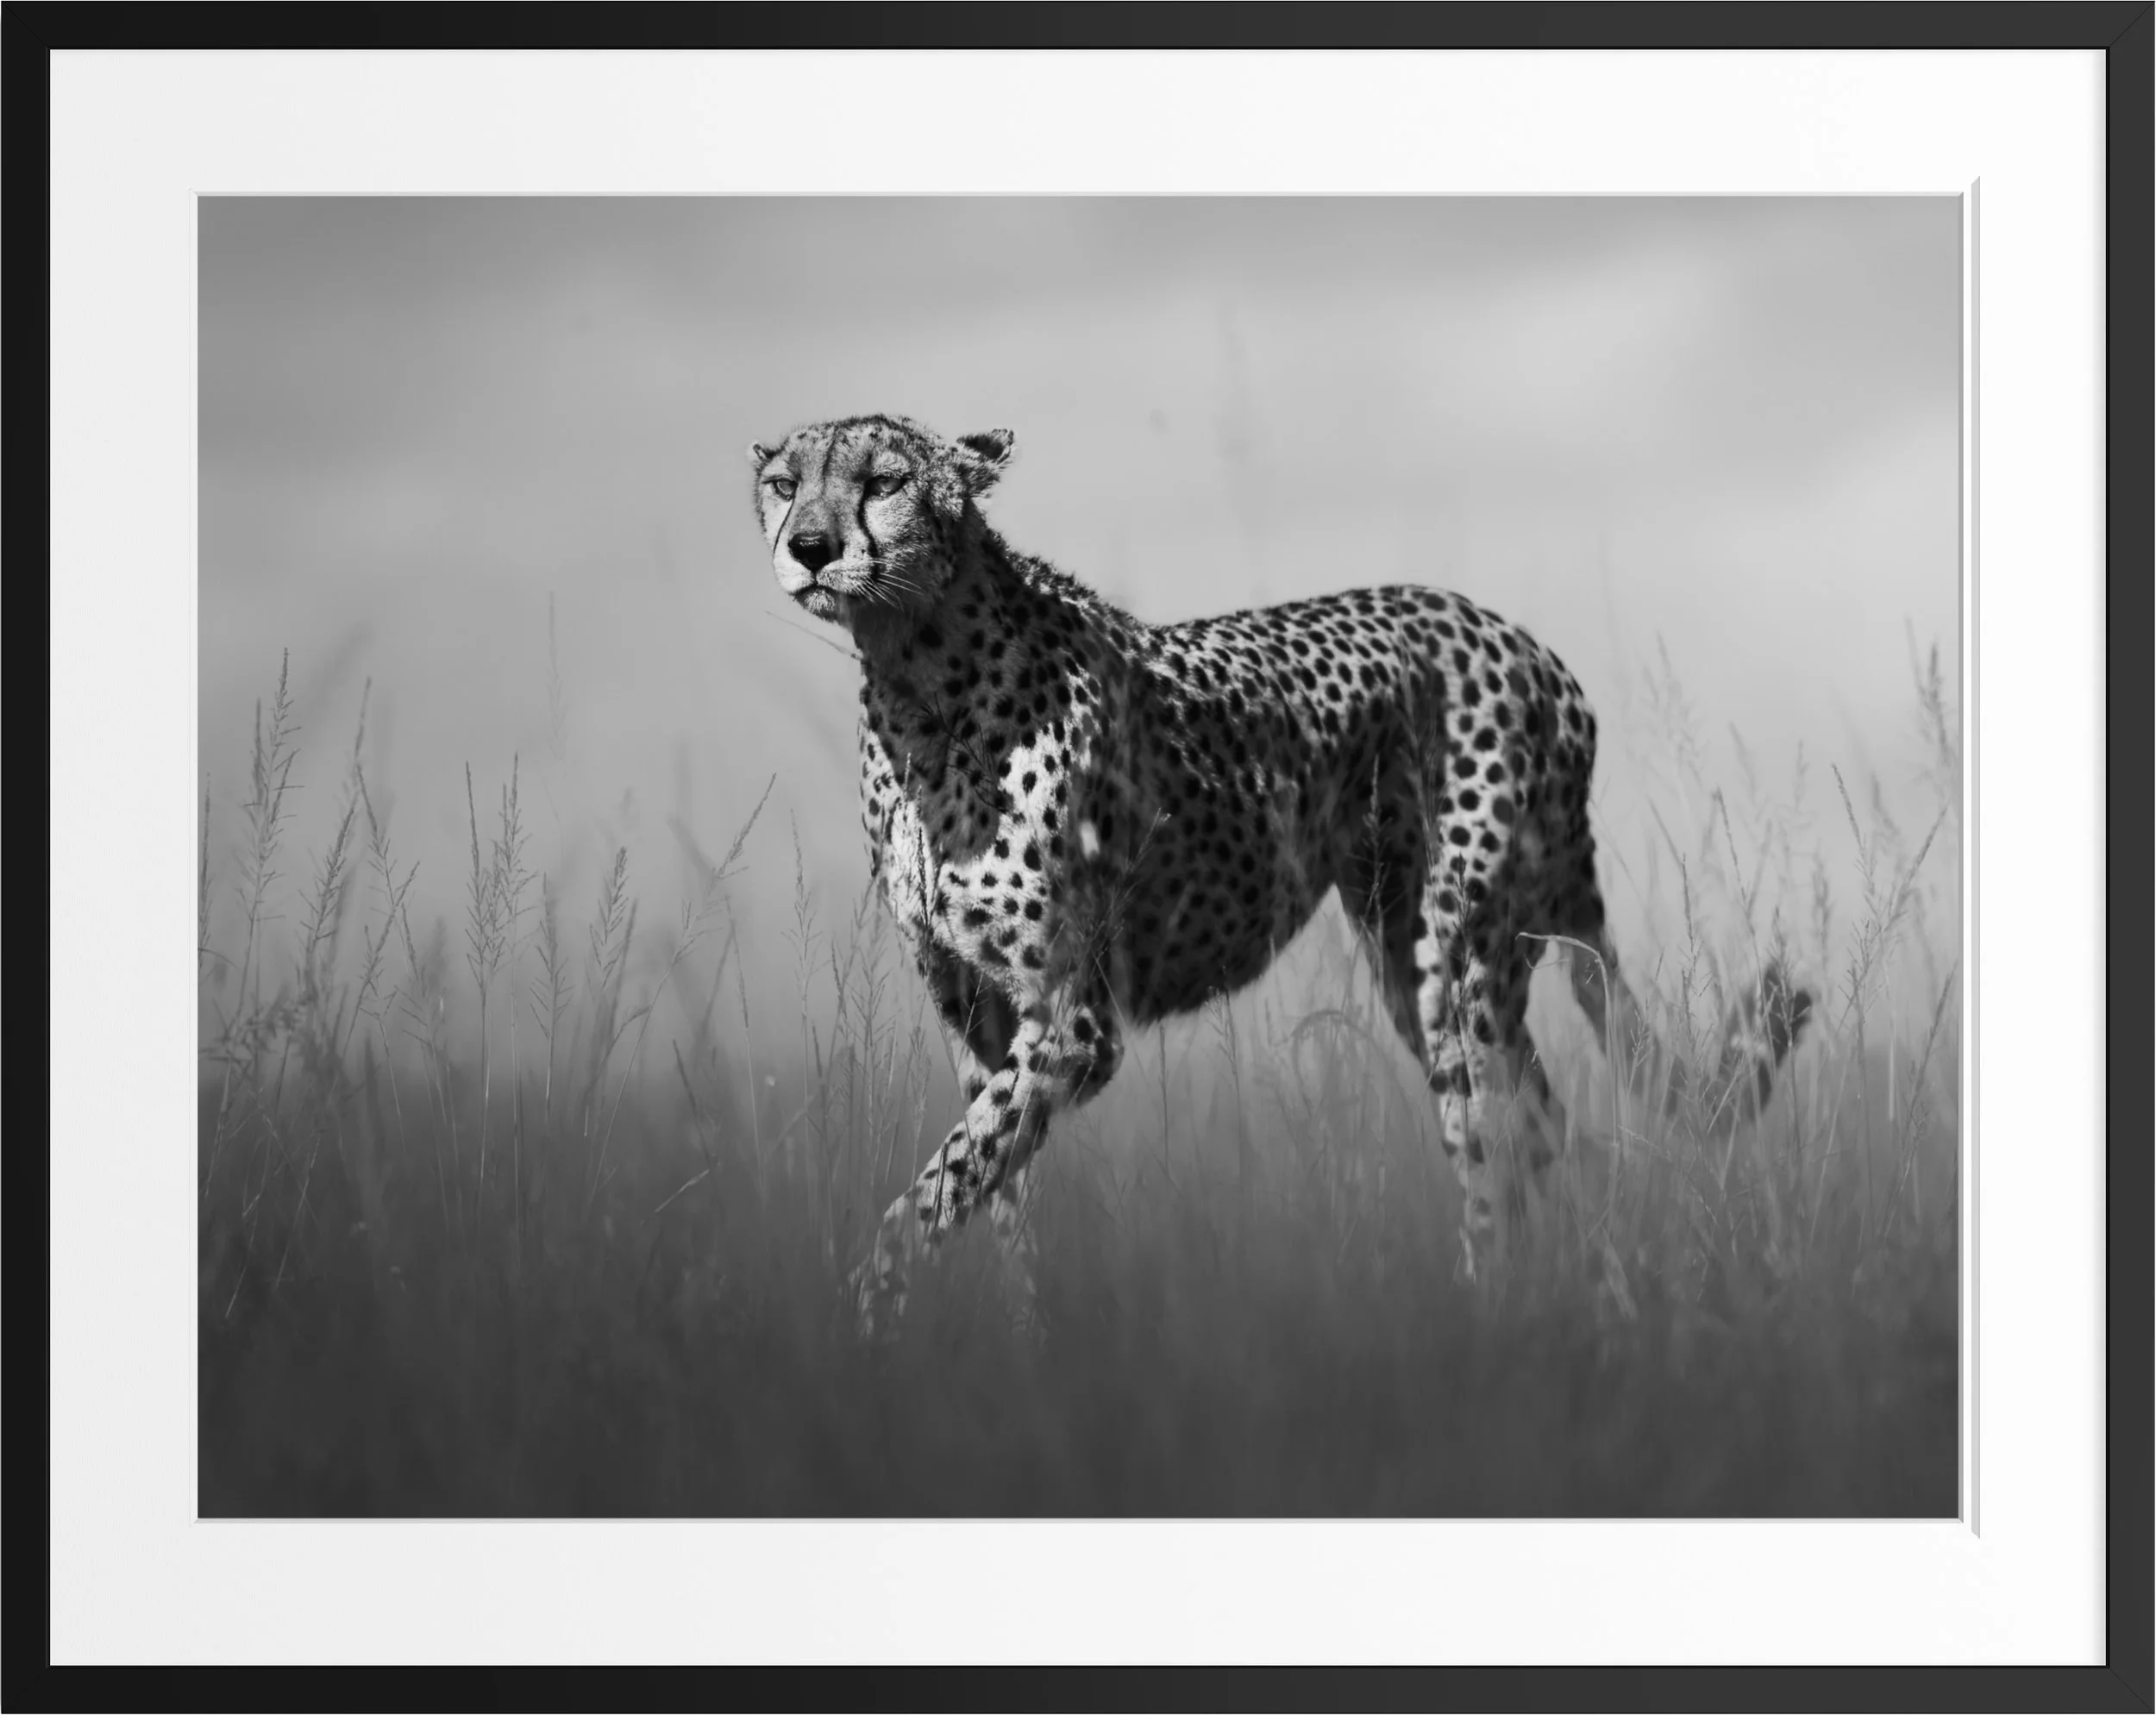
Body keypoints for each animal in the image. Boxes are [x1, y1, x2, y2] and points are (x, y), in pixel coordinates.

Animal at [745, 413, 1813, 1336]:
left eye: (883, 484)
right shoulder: (980, 1017)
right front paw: (1019, 1339)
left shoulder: (1073, 1025)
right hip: (1404, 945)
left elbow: (944, 1179)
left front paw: (864, 1311)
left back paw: (1488, 1318)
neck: (916, 682)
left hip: (1453, 956)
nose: (809, 546)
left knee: (1498, 1130)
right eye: (783, 484)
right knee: (1538, 1120)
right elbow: (993, 1190)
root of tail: (1527, 647)